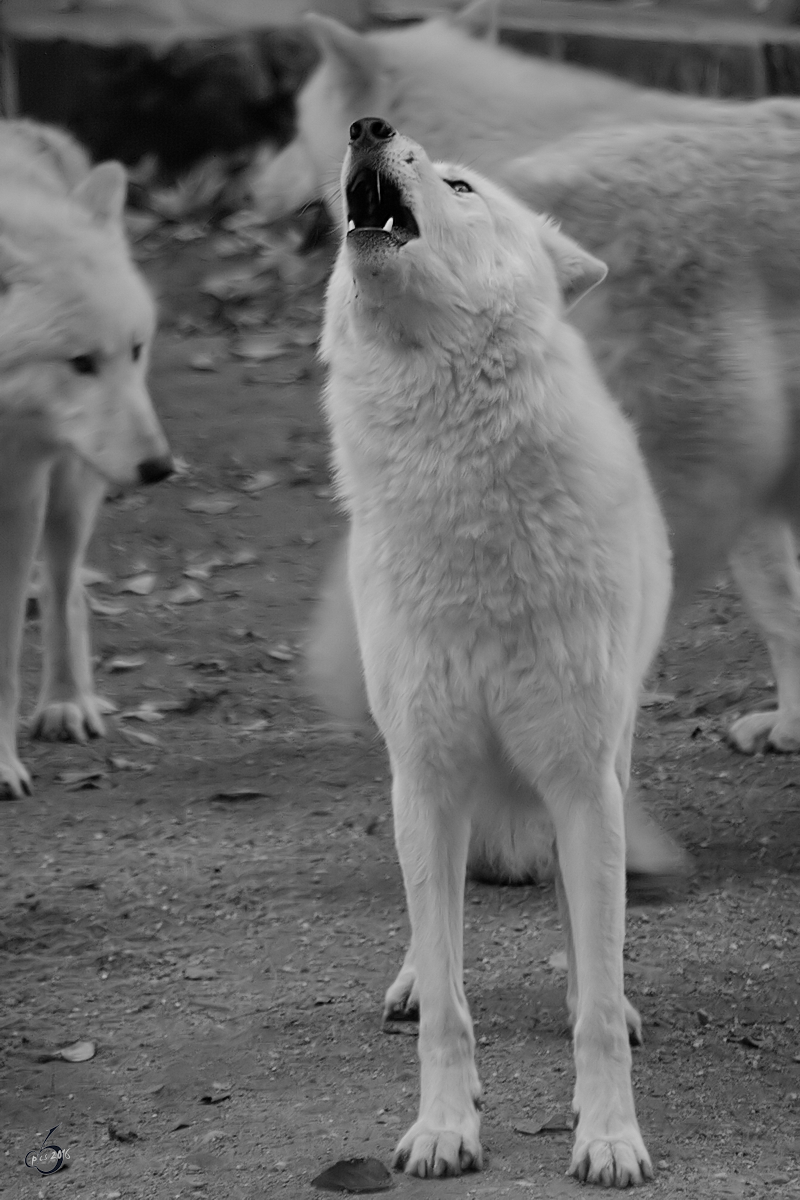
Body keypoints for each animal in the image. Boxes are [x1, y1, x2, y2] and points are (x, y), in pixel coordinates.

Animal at [0, 121, 173, 801]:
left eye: (135, 349)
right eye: (79, 363)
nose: (161, 468)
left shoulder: (18, 501)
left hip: (67, 492)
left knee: (63, 590)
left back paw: (67, 704)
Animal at [321, 117, 671, 1185]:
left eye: (462, 185)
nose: (367, 125)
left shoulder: (581, 784)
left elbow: (592, 998)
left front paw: (609, 1138)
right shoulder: (426, 778)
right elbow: (448, 999)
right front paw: (445, 1128)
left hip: (608, 763)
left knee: (582, 930)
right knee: (435, 926)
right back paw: (408, 980)